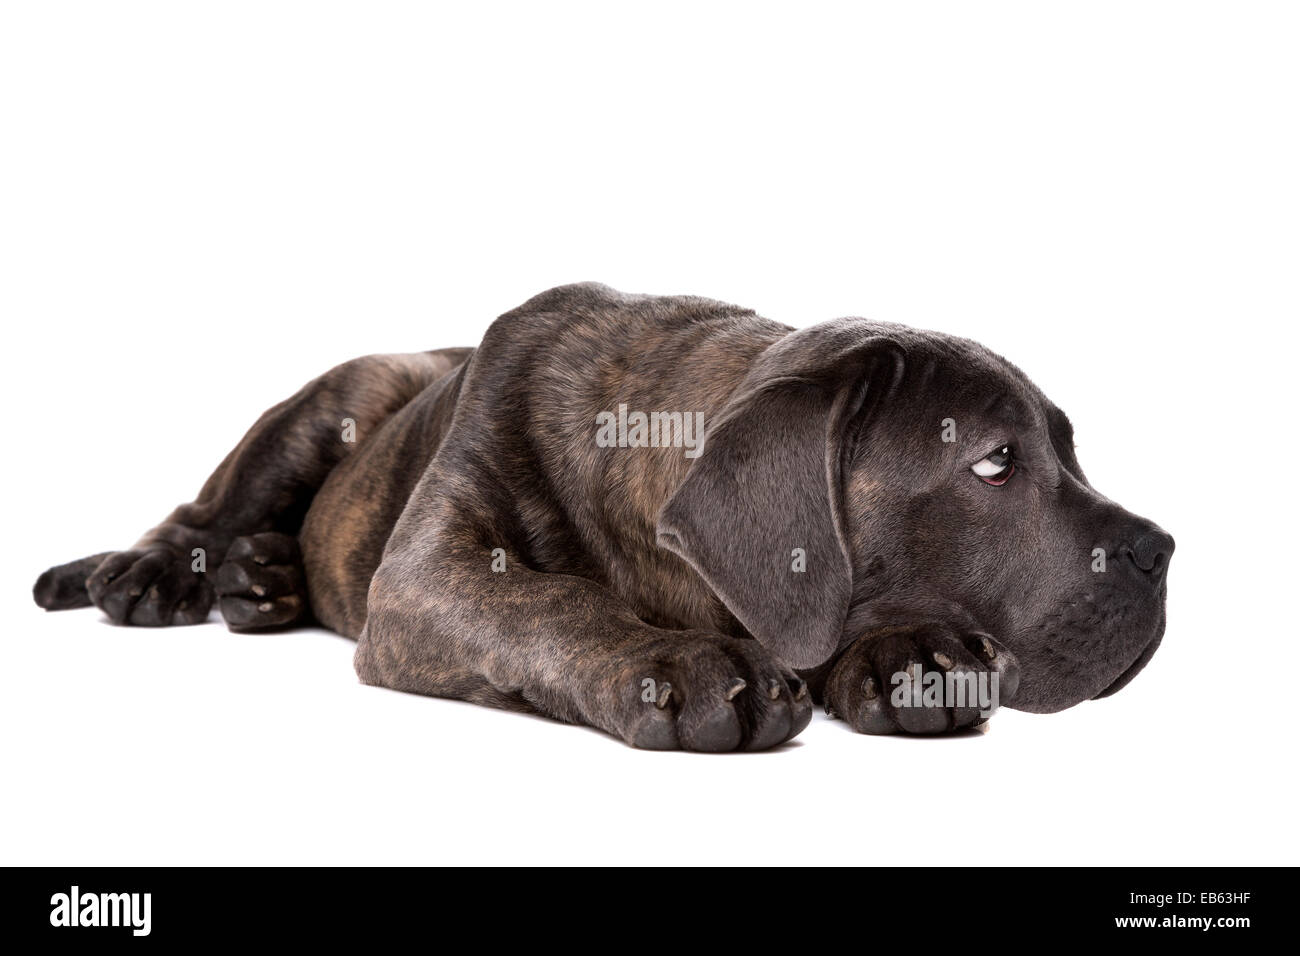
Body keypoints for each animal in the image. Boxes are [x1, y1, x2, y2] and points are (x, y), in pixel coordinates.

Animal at [30, 280, 1175, 749]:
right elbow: (552, 603)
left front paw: (909, 653)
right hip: (333, 400)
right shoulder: (428, 576)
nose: (1164, 549)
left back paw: (261, 580)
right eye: (995, 462)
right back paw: (157, 573)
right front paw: (680, 665)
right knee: (199, 507)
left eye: (1068, 448)